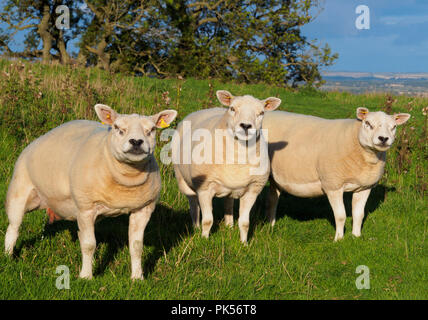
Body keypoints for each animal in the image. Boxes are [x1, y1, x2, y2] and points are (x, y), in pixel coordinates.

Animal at [3, 104, 177, 278]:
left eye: (152, 129)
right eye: (117, 128)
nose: (136, 141)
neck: (126, 178)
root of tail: (37, 140)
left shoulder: (143, 209)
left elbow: (136, 246)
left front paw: (137, 277)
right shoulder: (85, 208)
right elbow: (89, 245)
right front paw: (86, 276)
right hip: (19, 191)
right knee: (13, 228)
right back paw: (8, 257)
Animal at [171, 90, 280, 242]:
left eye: (261, 113)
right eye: (232, 108)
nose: (246, 126)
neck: (238, 158)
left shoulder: (253, 190)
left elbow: (245, 223)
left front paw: (244, 243)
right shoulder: (205, 188)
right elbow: (208, 220)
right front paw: (204, 240)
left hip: (230, 188)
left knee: (228, 203)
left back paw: (229, 226)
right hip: (182, 179)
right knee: (193, 205)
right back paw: (196, 227)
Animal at [264, 107, 412, 240]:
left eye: (394, 127)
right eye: (368, 123)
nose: (383, 138)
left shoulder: (364, 187)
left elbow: (359, 214)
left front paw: (356, 236)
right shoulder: (333, 185)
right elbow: (340, 216)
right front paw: (339, 239)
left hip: (276, 178)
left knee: (273, 199)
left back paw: (271, 224)